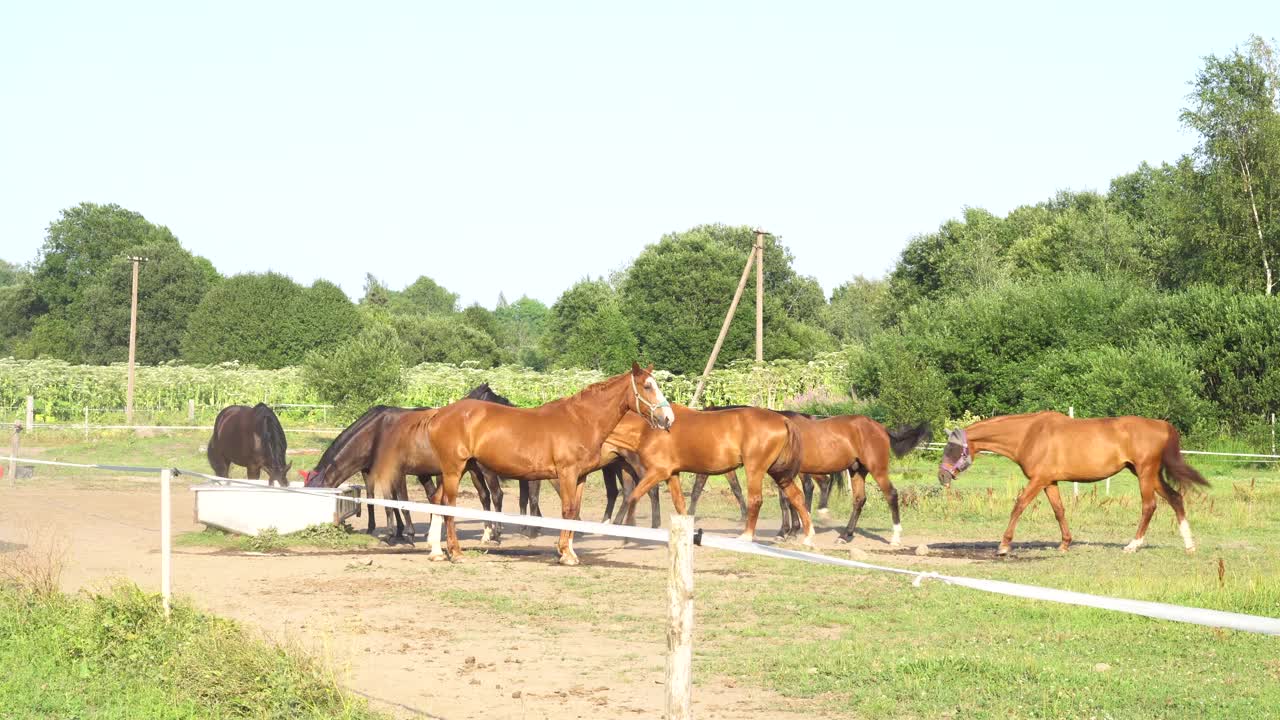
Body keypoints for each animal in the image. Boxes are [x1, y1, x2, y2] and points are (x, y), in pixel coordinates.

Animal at [424, 361, 675, 563]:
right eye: (647, 386)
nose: (668, 418)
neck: (581, 420)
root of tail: (438, 415)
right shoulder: (566, 473)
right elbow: (566, 509)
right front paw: (565, 552)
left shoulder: (579, 476)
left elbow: (573, 511)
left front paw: (568, 551)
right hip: (454, 470)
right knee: (447, 505)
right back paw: (455, 552)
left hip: (456, 470)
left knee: (437, 501)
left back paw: (437, 551)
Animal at [614, 404, 814, 543]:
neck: (647, 430)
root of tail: (784, 420)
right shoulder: (672, 474)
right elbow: (680, 504)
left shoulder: (658, 472)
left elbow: (633, 497)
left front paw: (627, 533)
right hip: (779, 472)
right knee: (796, 497)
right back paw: (807, 535)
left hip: (755, 469)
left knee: (757, 500)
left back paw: (746, 536)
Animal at [936, 409, 1203, 556]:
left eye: (952, 448)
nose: (942, 476)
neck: (1029, 434)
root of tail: (1163, 425)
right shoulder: (1049, 481)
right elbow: (1059, 510)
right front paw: (1064, 544)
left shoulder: (1038, 480)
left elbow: (1019, 505)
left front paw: (1003, 545)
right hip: (1148, 474)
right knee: (1176, 498)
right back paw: (1189, 545)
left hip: (1145, 473)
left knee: (1149, 506)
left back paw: (1133, 545)